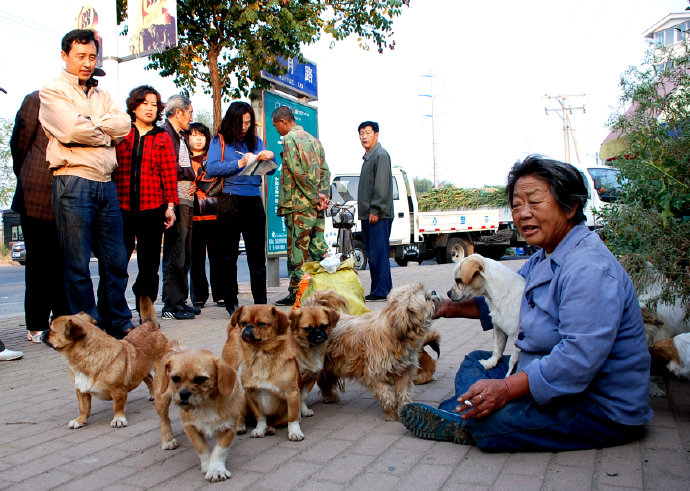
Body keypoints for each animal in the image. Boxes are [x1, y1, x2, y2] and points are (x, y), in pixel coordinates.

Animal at [41, 296, 172, 430]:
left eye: (51, 330)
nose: (43, 331)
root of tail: (149, 324)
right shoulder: (81, 391)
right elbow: (83, 408)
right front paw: (80, 420)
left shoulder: (118, 391)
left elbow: (117, 406)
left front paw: (118, 419)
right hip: (141, 370)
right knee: (150, 379)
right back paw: (153, 394)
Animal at [153, 350, 245, 484]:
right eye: (175, 378)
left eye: (201, 379)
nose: (183, 394)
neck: (207, 404)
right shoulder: (190, 427)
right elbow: (201, 447)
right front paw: (208, 466)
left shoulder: (229, 426)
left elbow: (220, 450)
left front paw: (216, 469)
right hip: (162, 399)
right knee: (164, 419)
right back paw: (168, 440)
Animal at [222, 308, 306, 442]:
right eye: (243, 323)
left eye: (262, 324)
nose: (248, 326)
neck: (261, 354)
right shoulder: (250, 395)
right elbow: (260, 417)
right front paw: (259, 430)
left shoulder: (292, 394)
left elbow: (292, 418)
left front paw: (295, 432)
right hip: (242, 398)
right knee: (241, 416)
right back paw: (241, 426)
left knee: (274, 422)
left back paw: (270, 428)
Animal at [314, 284, 438, 422]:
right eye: (427, 298)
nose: (434, 292)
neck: (394, 334)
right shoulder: (377, 375)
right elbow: (387, 396)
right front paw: (391, 414)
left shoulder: (404, 372)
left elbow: (404, 394)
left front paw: (404, 411)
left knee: (325, 382)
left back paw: (329, 396)